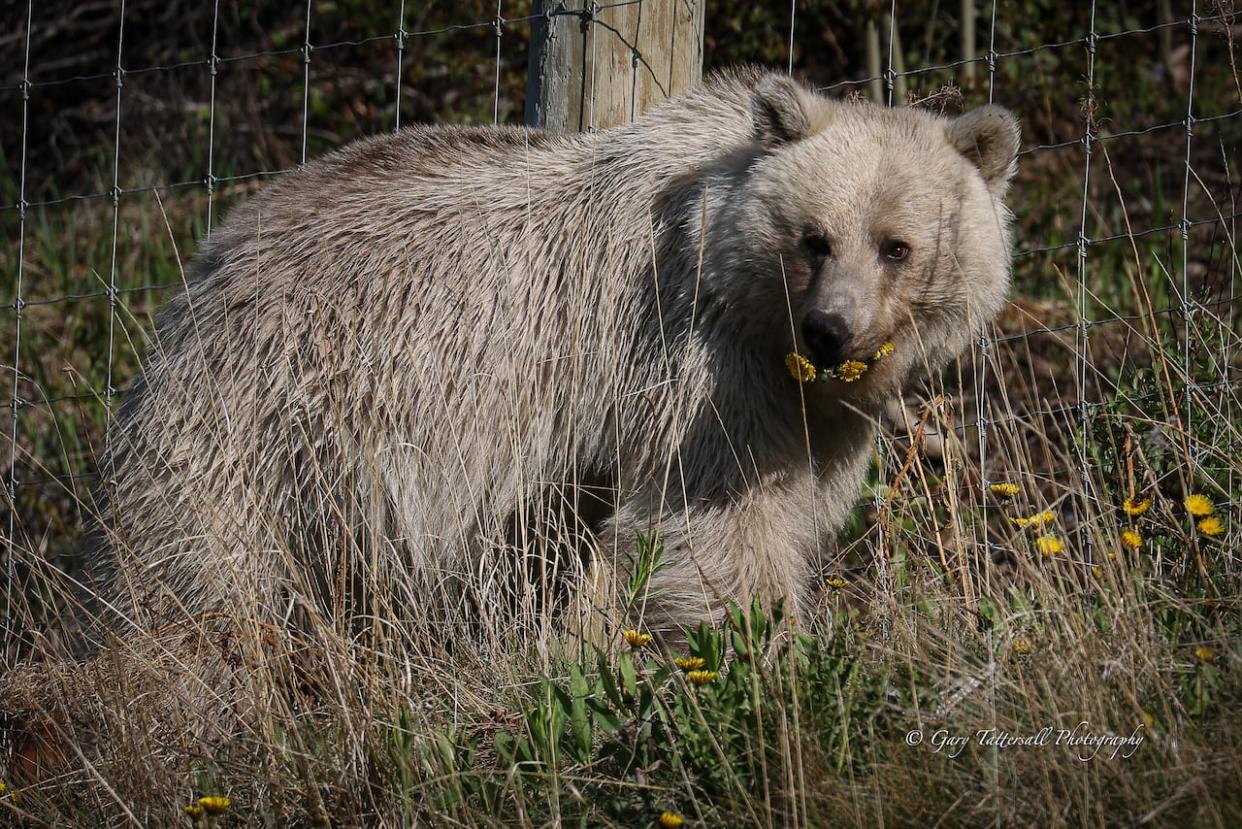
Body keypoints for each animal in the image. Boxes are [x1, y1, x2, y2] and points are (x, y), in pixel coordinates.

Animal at [80, 68, 1018, 646]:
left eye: (897, 245)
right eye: (813, 238)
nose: (832, 328)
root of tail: (211, 257)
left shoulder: (807, 411)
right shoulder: (698, 365)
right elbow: (717, 522)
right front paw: (766, 647)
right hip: (257, 411)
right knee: (189, 570)